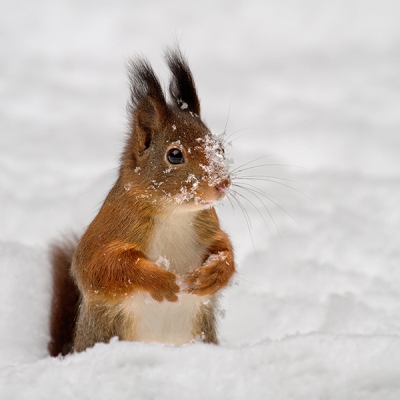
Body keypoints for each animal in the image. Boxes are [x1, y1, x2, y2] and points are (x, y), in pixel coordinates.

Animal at [47, 47, 234, 356]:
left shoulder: (208, 225)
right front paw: (159, 280)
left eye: (218, 147)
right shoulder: (110, 227)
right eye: (174, 155)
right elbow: (99, 266)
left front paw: (214, 273)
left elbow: (224, 248)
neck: (174, 213)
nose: (222, 184)